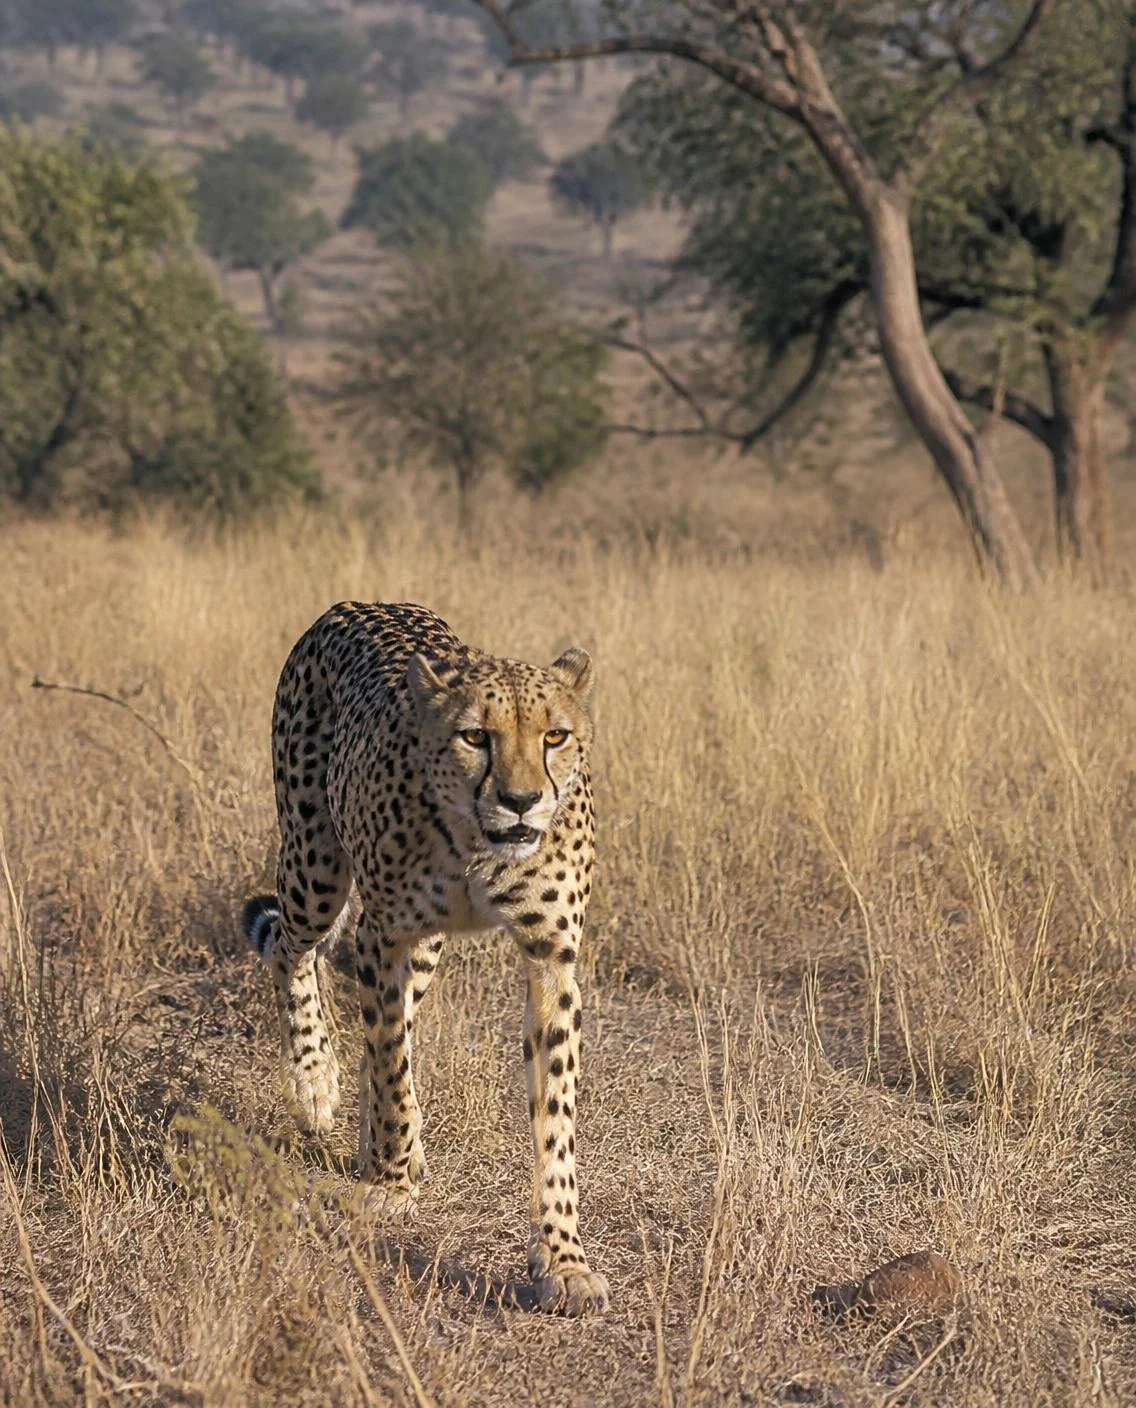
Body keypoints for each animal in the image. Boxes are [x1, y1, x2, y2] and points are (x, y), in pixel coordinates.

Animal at [242, 601, 609, 1316]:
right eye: (475, 737)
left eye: (555, 736)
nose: (522, 801)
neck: (479, 845)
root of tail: (353, 604)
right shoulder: (385, 935)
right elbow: (389, 1063)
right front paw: (390, 1182)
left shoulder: (551, 958)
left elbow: (554, 1118)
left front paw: (562, 1258)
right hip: (316, 869)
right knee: (291, 951)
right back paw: (317, 1081)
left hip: (427, 944)